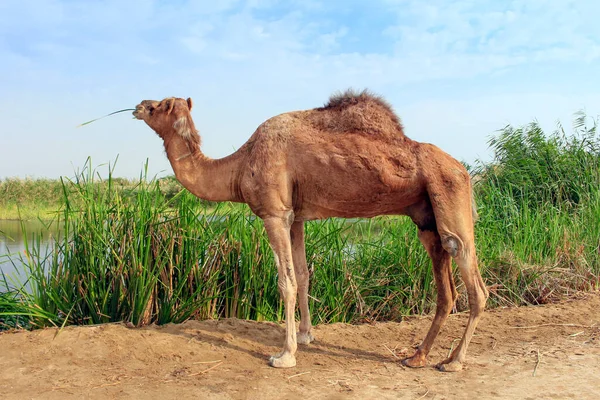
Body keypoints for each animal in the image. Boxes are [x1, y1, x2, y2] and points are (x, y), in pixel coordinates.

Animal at [134, 90, 490, 372]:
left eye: (161, 105)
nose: (138, 105)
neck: (238, 166)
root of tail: (464, 170)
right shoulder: (296, 217)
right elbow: (304, 274)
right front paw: (306, 335)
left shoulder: (274, 213)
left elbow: (286, 281)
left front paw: (285, 354)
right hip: (427, 219)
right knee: (447, 289)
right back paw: (417, 356)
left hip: (451, 196)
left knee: (472, 277)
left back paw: (454, 362)